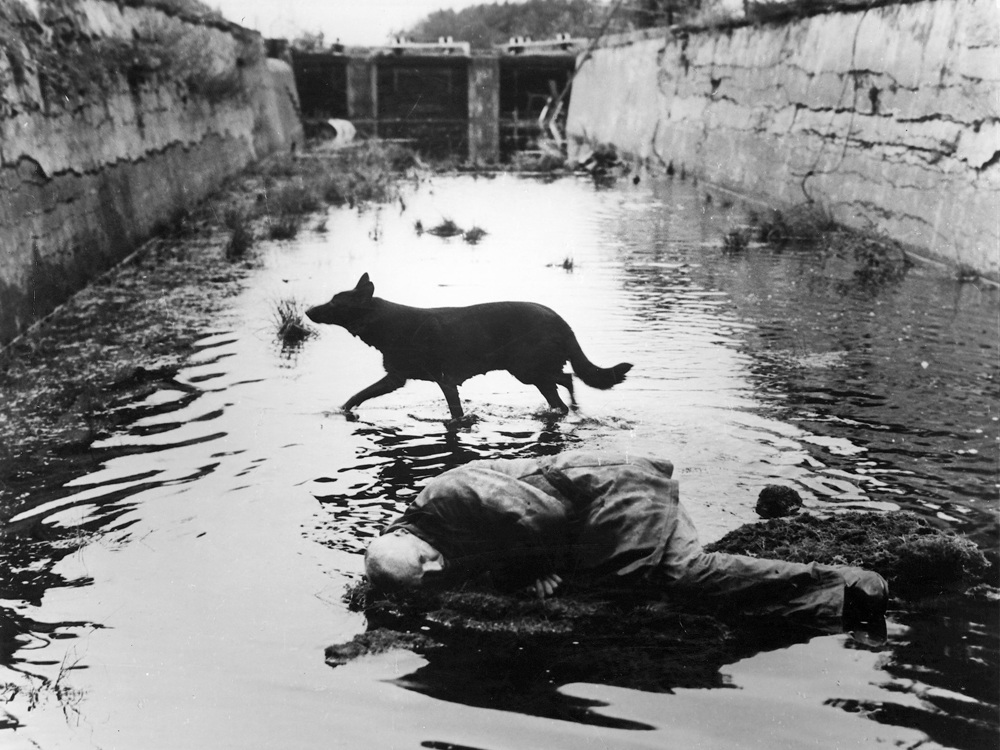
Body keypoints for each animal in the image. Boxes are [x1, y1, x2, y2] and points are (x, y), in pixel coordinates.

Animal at [306, 273, 632, 421]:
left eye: (335, 303)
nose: (308, 311)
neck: (387, 324)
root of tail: (561, 321)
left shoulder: (445, 381)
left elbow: (456, 414)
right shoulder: (395, 378)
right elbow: (357, 395)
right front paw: (342, 411)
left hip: (526, 370)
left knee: (566, 380)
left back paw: (573, 407)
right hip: (533, 372)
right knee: (565, 384)